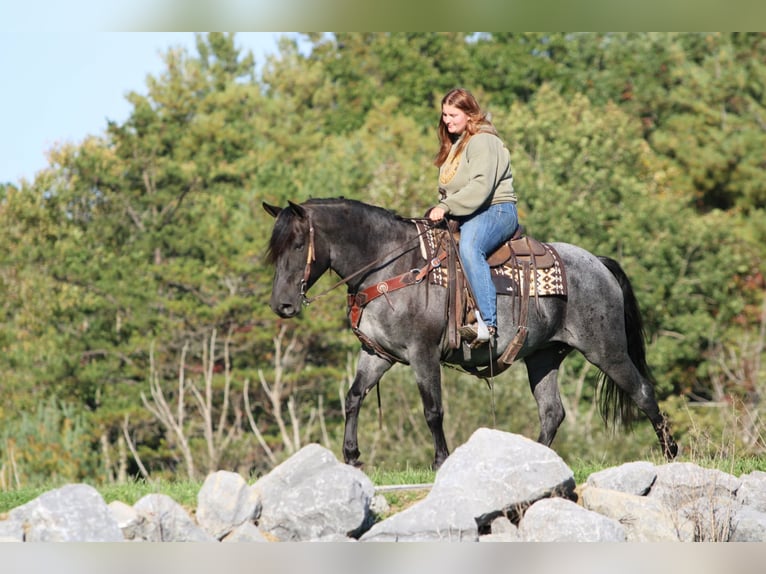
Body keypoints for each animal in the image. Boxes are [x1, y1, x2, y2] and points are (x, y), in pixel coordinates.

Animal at [264, 197, 678, 469]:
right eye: (275, 250)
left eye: (298, 245)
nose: (281, 305)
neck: (393, 265)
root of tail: (599, 264)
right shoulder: (379, 354)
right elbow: (353, 397)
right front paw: (351, 456)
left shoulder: (423, 353)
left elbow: (433, 410)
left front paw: (440, 461)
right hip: (543, 356)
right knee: (552, 413)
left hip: (606, 350)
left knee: (643, 392)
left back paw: (671, 452)